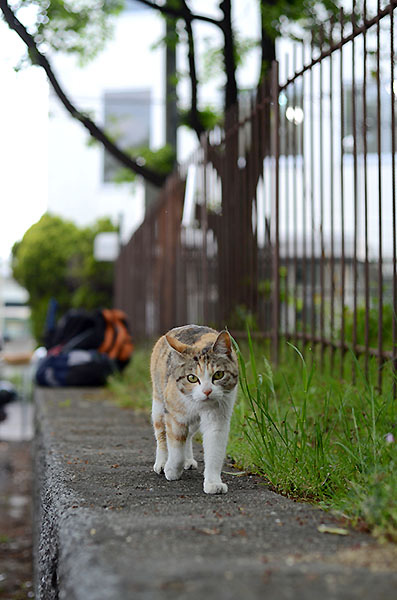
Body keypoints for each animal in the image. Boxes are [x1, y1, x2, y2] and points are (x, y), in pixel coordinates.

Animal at [151, 326, 238, 494]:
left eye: (219, 374)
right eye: (191, 378)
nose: (207, 391)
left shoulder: (217, 419)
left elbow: (214, 451)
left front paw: (213, 483)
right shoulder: (175, 416)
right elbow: (175, 446)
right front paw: (172, 470)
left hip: (194, 422)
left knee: (189, 435)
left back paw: (188, 460)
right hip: (158, 404)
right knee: (162, 435)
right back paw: (162, 462)